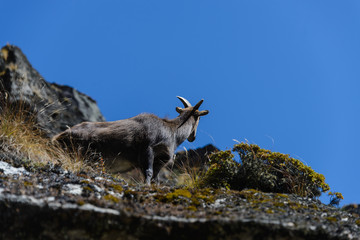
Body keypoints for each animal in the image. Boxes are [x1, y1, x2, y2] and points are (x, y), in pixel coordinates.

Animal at [51, 95, 208, 184]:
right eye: (199, 118)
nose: (193, 137)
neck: (171, 131)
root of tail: (57, 137)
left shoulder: (159, 161)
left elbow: (155, 178)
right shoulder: (147, 149)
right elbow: (148, 173)